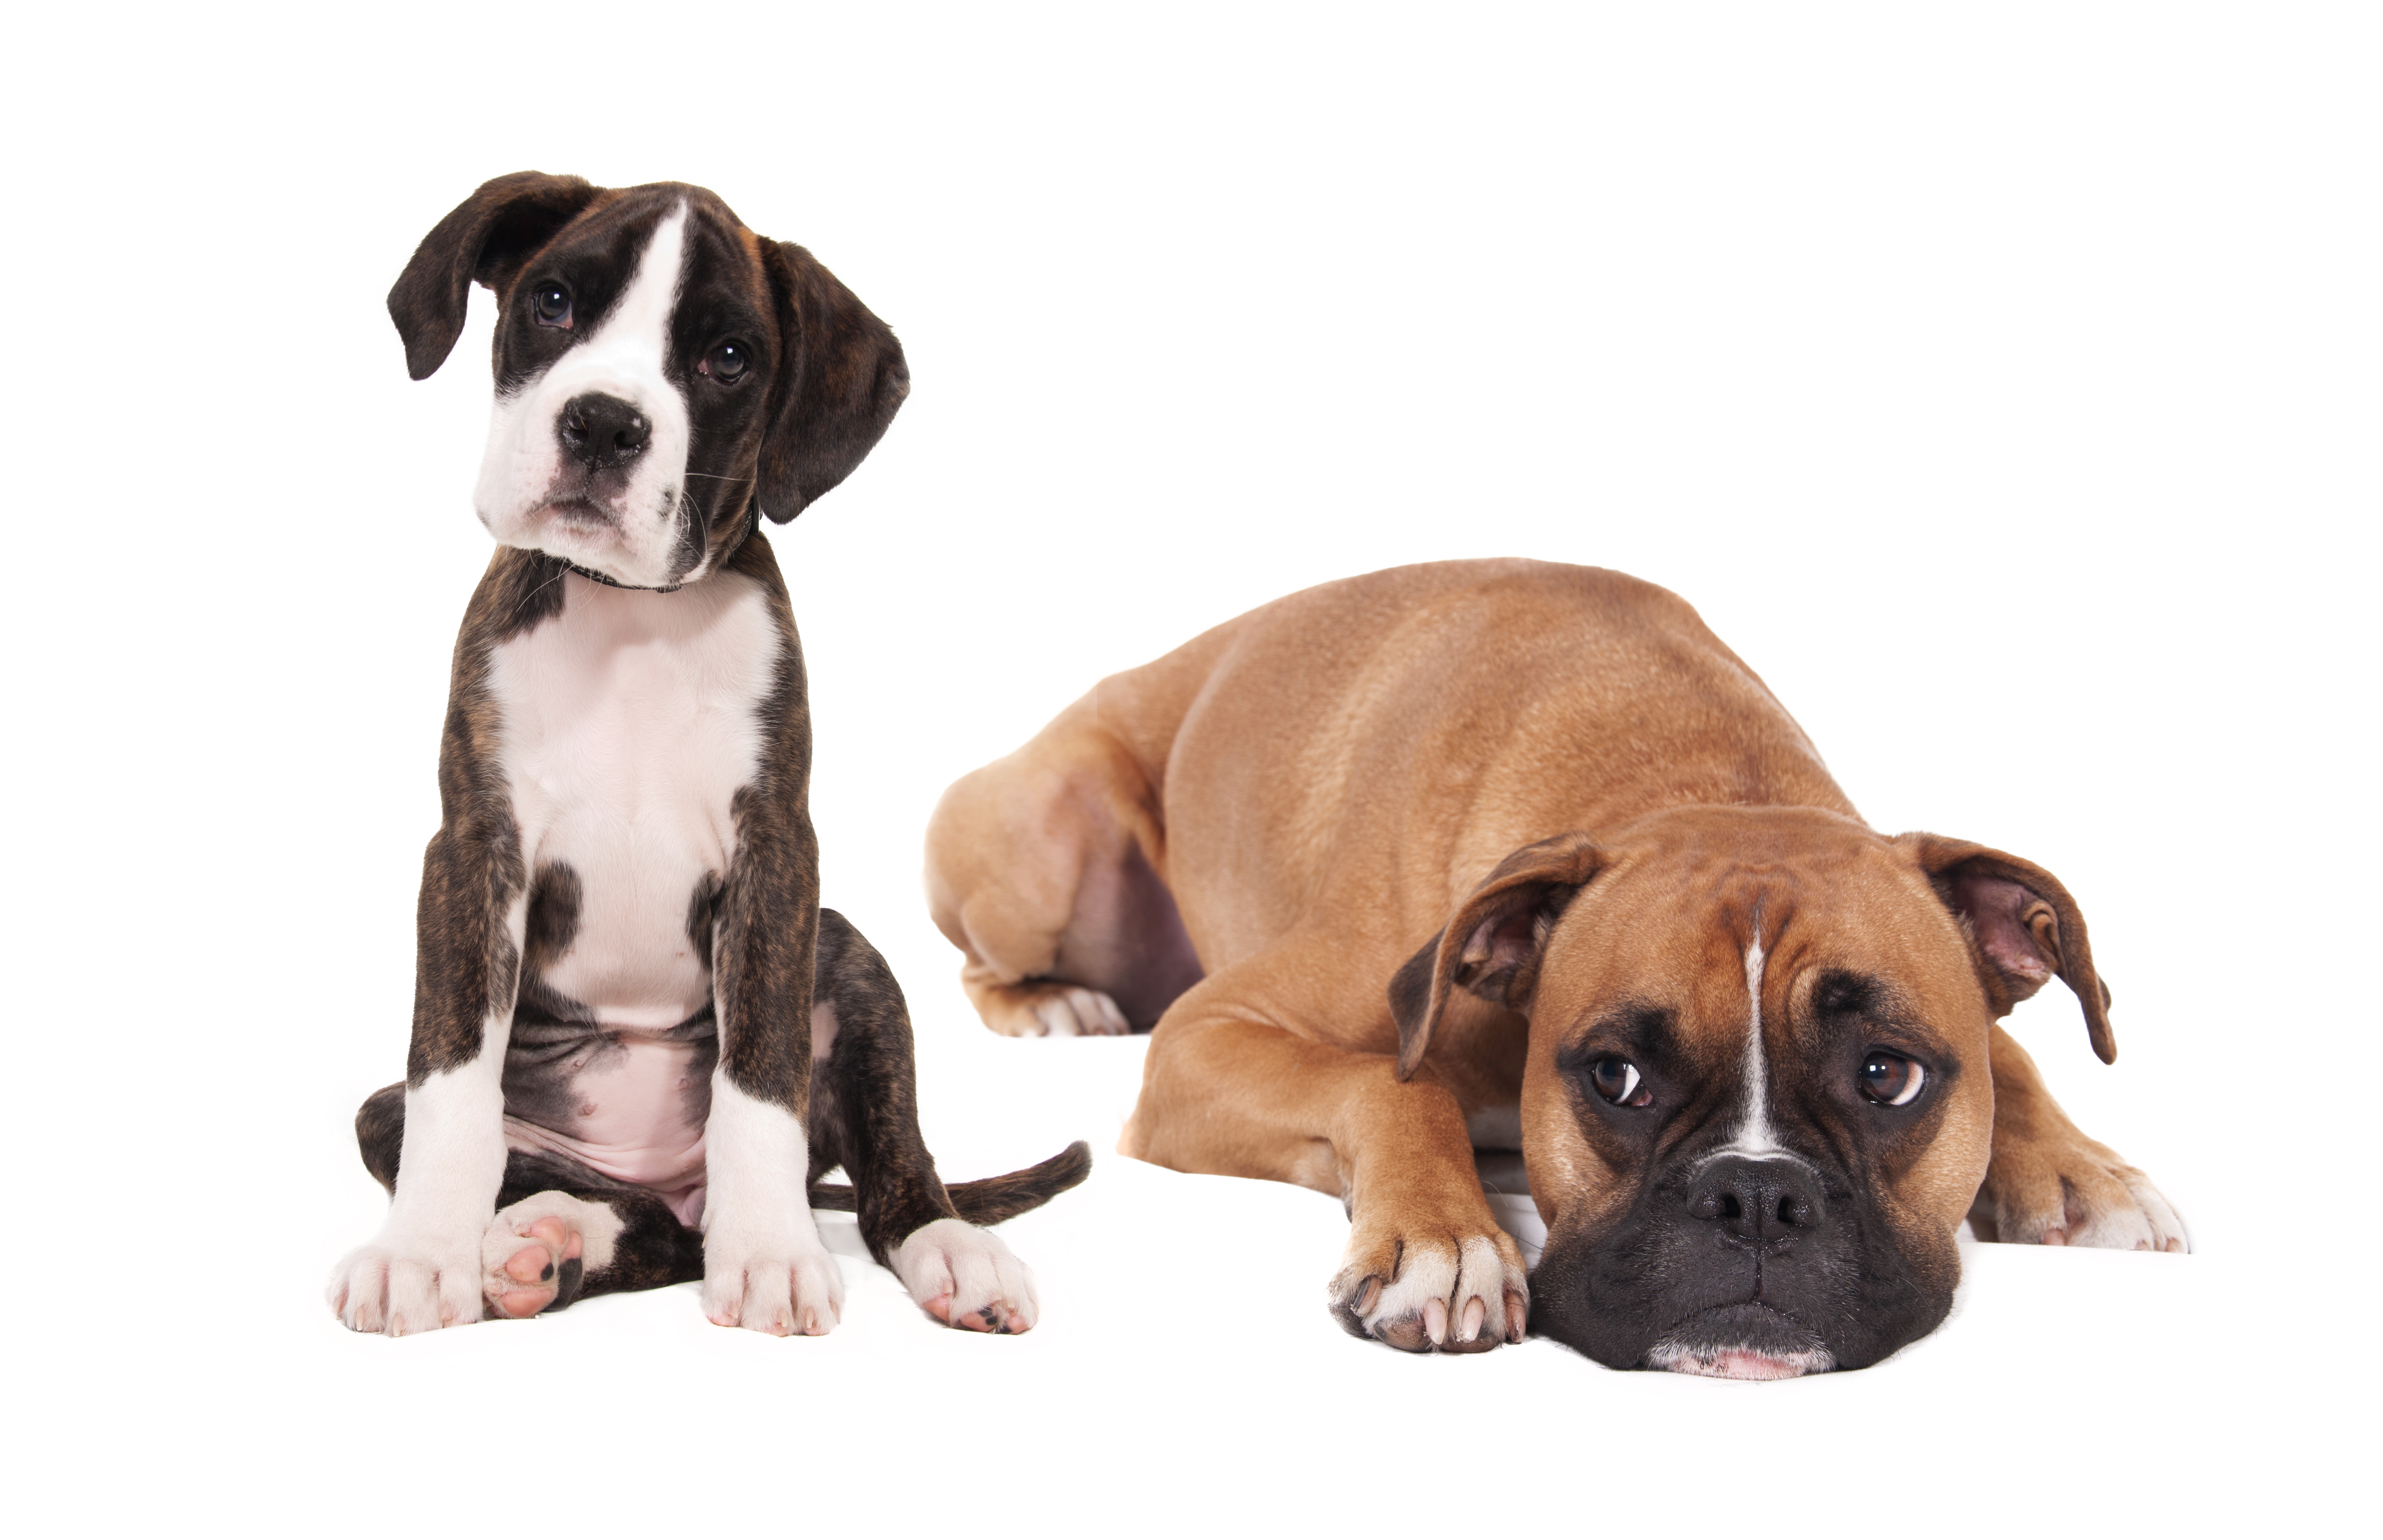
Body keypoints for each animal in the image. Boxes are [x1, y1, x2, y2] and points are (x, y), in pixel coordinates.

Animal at [329, 172, 1091, 1335]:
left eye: (729, 356)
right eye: (552, 300)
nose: (604, 421)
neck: (631, 615)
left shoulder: (776, 859)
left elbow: (760, 1078)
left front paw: (773, 1253)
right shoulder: (472, 853)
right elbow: (449, 1080)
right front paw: (418, 1256)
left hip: (852, 959)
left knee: (886, 1180)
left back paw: (950, 1250)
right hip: (396, 1115)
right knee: (645, 1225)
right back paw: (548, 1239)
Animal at [919, 560, 2182, 1382]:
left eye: (1888, 1074)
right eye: (1614, 1077)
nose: (1757, 1195)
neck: (1694, 773)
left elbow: (2012, 1047)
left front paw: (2079, 1169)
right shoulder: (1204, 1036)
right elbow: (1392, 1081)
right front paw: (1444, 1244)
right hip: (1037, 844)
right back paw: (1052, 1002)